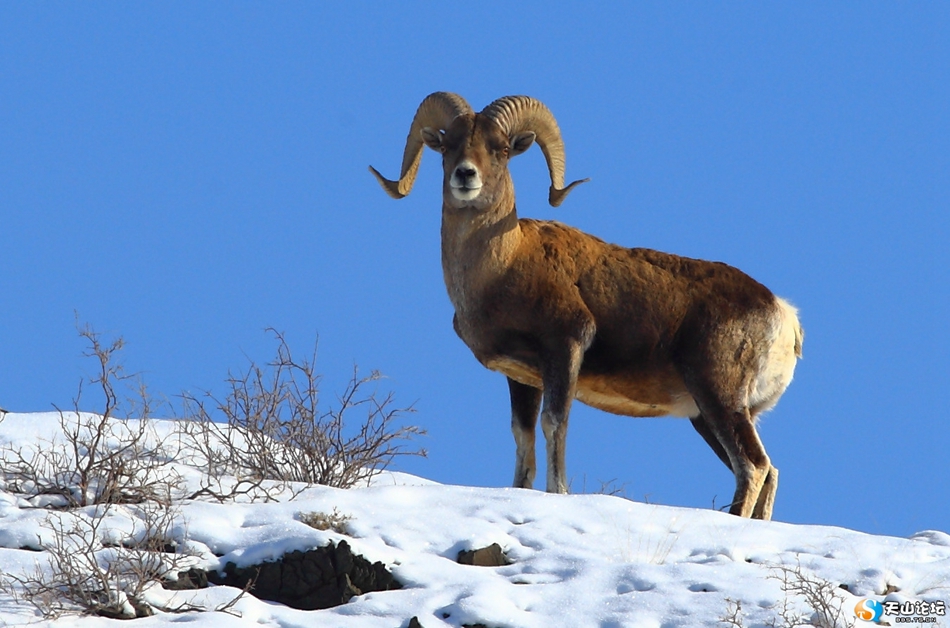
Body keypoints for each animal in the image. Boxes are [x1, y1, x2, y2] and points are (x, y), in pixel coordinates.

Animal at [370, 91, 804, 516]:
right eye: (448, 146)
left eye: (501, 149)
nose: (465, 176)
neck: (502, 266)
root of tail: (784, 315)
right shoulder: (522, 377)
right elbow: (523, 438)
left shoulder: (565, 349)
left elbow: (554, 424)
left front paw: (558, 492)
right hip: (706, 415)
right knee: (769, 471)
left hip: (718, 397)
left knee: (753, 467)